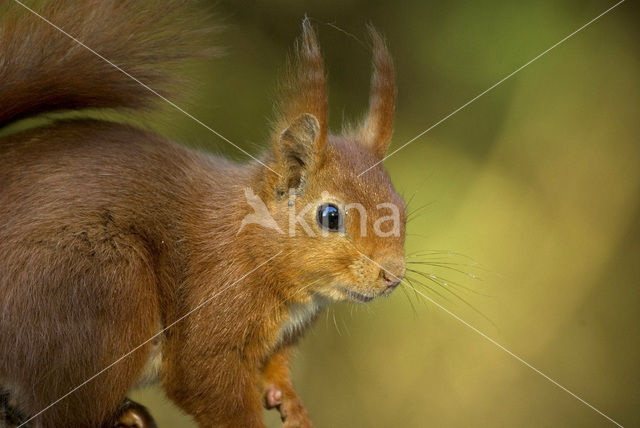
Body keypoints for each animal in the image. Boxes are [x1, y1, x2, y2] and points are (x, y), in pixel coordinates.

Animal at [1, 1, 404, 426]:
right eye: (330, 216)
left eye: (401, 209)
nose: (393, 276)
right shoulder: (214, 297)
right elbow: (203, 381)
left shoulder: (277, 343)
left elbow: (274, 371)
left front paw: (293, 405)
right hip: (103, 279)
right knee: (63, 407)